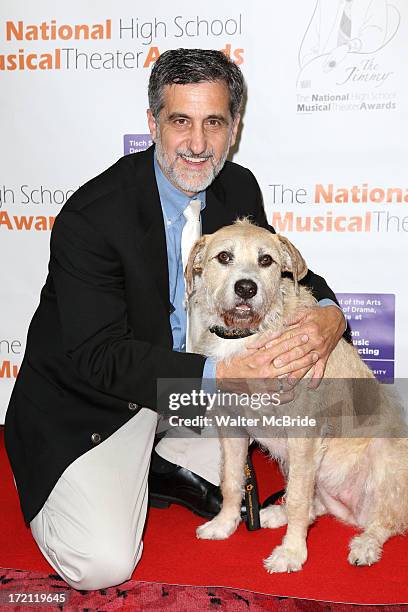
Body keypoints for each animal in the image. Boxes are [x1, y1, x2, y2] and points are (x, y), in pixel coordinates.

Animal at [186, 220, 408, 572]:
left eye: (266, 260)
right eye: (224, 257)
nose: (246, 288)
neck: (249, 334)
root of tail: (353, 512)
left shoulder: (304, 434)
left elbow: (300, 502)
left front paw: (291, 553)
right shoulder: (232, 428)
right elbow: (232, 481)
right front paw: (224, 524)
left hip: (381, 459)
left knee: (385, 520)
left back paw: (365, 544)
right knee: (317, 505)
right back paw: (275, 512)